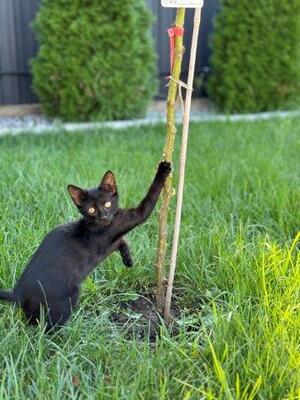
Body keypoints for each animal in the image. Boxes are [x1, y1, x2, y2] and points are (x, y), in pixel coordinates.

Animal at [0, 161, 171, 330]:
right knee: (46, 328)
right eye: (92, 209)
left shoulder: (112, 239)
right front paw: (163, 170)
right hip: (68, 298)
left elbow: (122, 242)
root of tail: (19, 293)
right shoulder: (122, 223)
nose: (104, 217)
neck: (96, 224)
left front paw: (128, 261)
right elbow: (147, 202)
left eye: (107, 204)